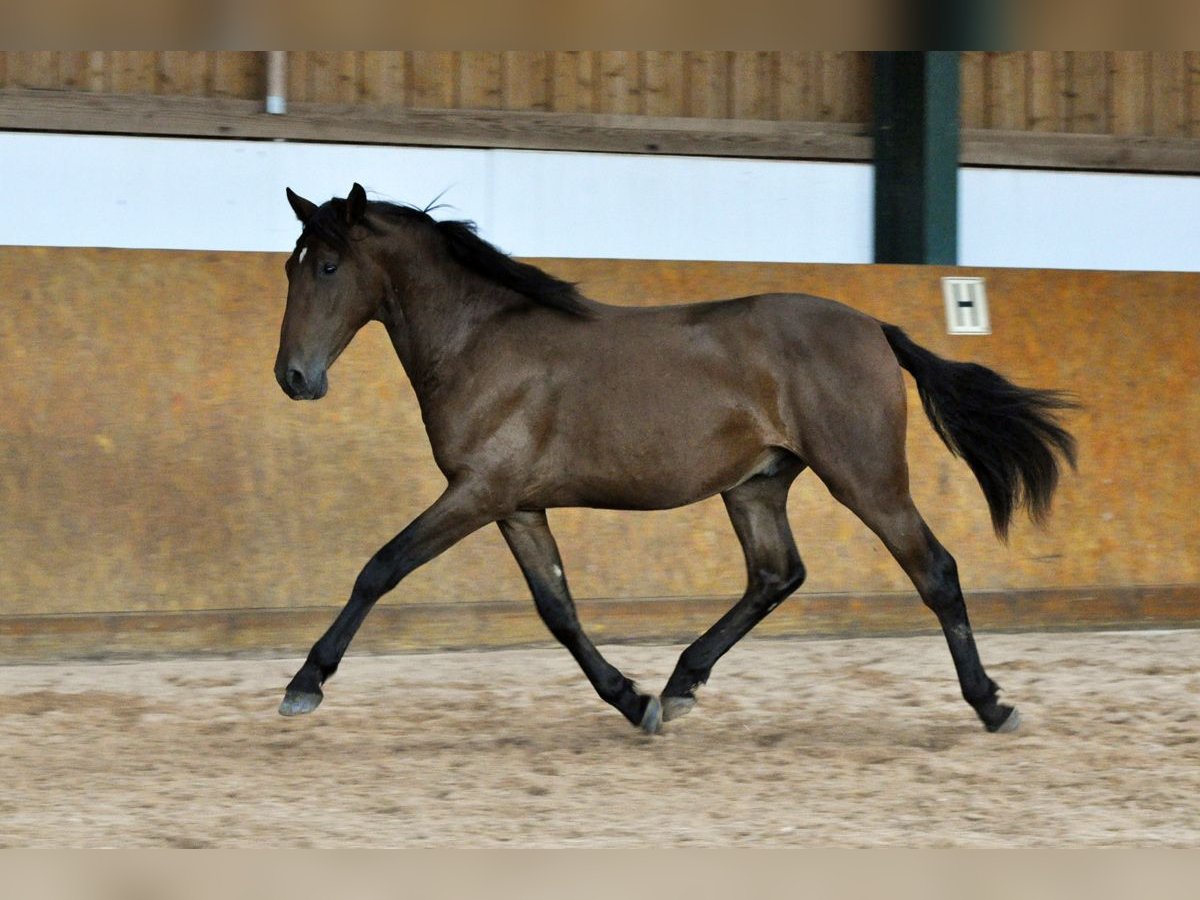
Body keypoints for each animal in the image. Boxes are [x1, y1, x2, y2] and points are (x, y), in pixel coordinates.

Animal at [274, 184, 1080, 739]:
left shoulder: (477, 493)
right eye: (290, 266)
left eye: (329, 265)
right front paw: (632, 701)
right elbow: (558, 609)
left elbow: (381, 567)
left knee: (934, 571)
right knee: (775, 575)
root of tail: (875, 328)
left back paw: (991, 704)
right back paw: (680, 685)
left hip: (866, 479)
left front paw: (305, 683)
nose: (294, 377)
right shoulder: (516, 505)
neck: (481, 339)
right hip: (756, 485)